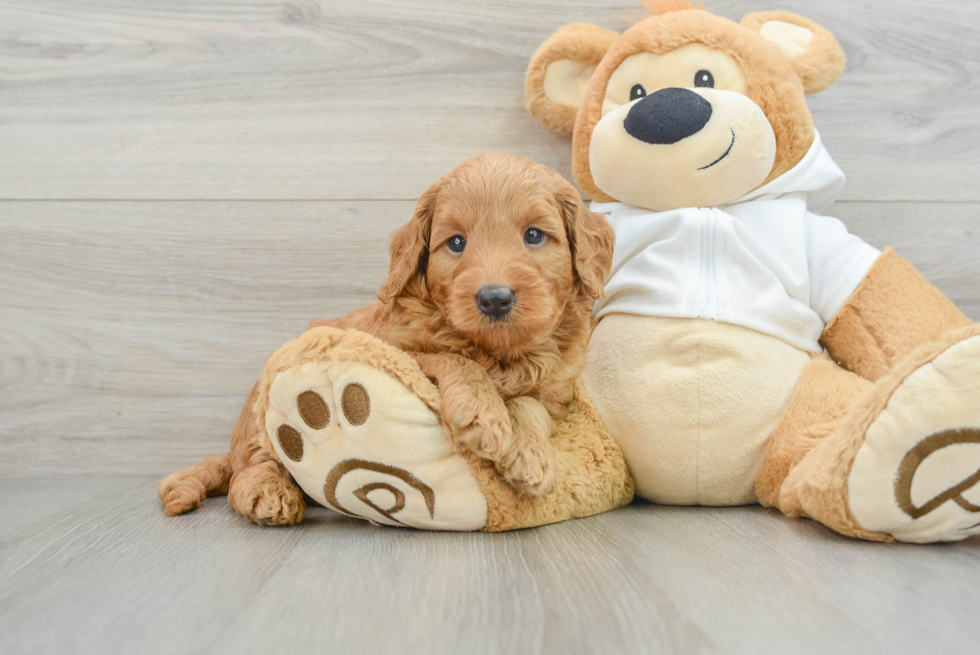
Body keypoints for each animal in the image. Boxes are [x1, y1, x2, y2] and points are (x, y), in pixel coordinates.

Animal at [165, 155, 616, 528]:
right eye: (456, 243)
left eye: (535, 236)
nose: (494, 298)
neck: (498, 352)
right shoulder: (397, 346)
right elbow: (453, 358)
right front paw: (482, 413)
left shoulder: (556, 389)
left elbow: (530, 405)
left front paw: (530, 456)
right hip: (261, 416)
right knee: (253, 465)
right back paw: (268, 492)